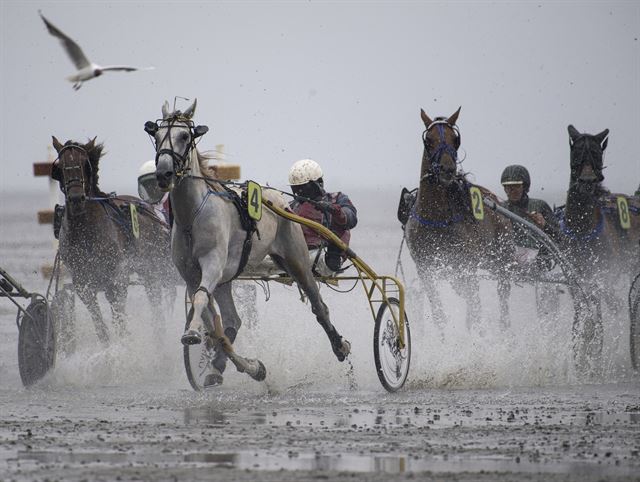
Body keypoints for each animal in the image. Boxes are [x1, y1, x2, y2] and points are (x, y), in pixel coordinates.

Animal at [51, 137, 175, 344]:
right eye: (60, 167)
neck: (86, 232)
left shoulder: (117, 279)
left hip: (151, 270)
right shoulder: (83, 284)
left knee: (156, 304)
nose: (76, 198)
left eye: (85, 164)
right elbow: (101, 327)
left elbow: (120, 321)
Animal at [145, 100, 350, 386]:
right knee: (234, 320)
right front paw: (249, 366)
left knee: (319, 306)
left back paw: (339, 346)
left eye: (184, 135)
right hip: (227, 280)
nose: (164, 173)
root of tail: (278, 198)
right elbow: (214, 326)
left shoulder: (212, 264)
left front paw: (192, 334)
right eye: (157, 135)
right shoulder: (190, 274)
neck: (192, 216)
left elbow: (201, 300)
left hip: (297, 260)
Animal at [408, 107, 516, 330]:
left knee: (499, 301)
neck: (436, 216)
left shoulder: (467, 265)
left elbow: (476, 309)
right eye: (428, 140)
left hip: (501, 260)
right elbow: (439, 313)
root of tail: (496, 201)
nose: (448, 169)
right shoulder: (425, 268)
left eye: (455, 139)